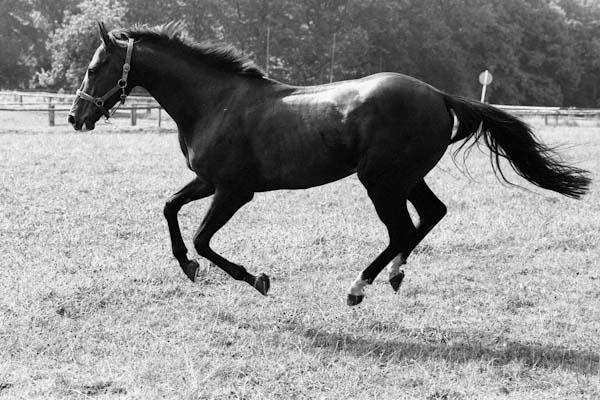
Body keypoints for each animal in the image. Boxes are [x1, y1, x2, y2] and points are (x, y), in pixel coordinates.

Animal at [68, 22, 588, 306]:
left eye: (95, 68)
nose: (75, 116)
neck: (216, 102)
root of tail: (439, 95)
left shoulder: (234, 190)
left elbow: (201, 237)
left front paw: (256, 279)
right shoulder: (207, 181)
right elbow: (170, 208)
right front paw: (189, 268)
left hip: (380, 181)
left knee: (402, 228)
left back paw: (359, 287)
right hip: (404, 178)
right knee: (431, 214)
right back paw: (395, 275)